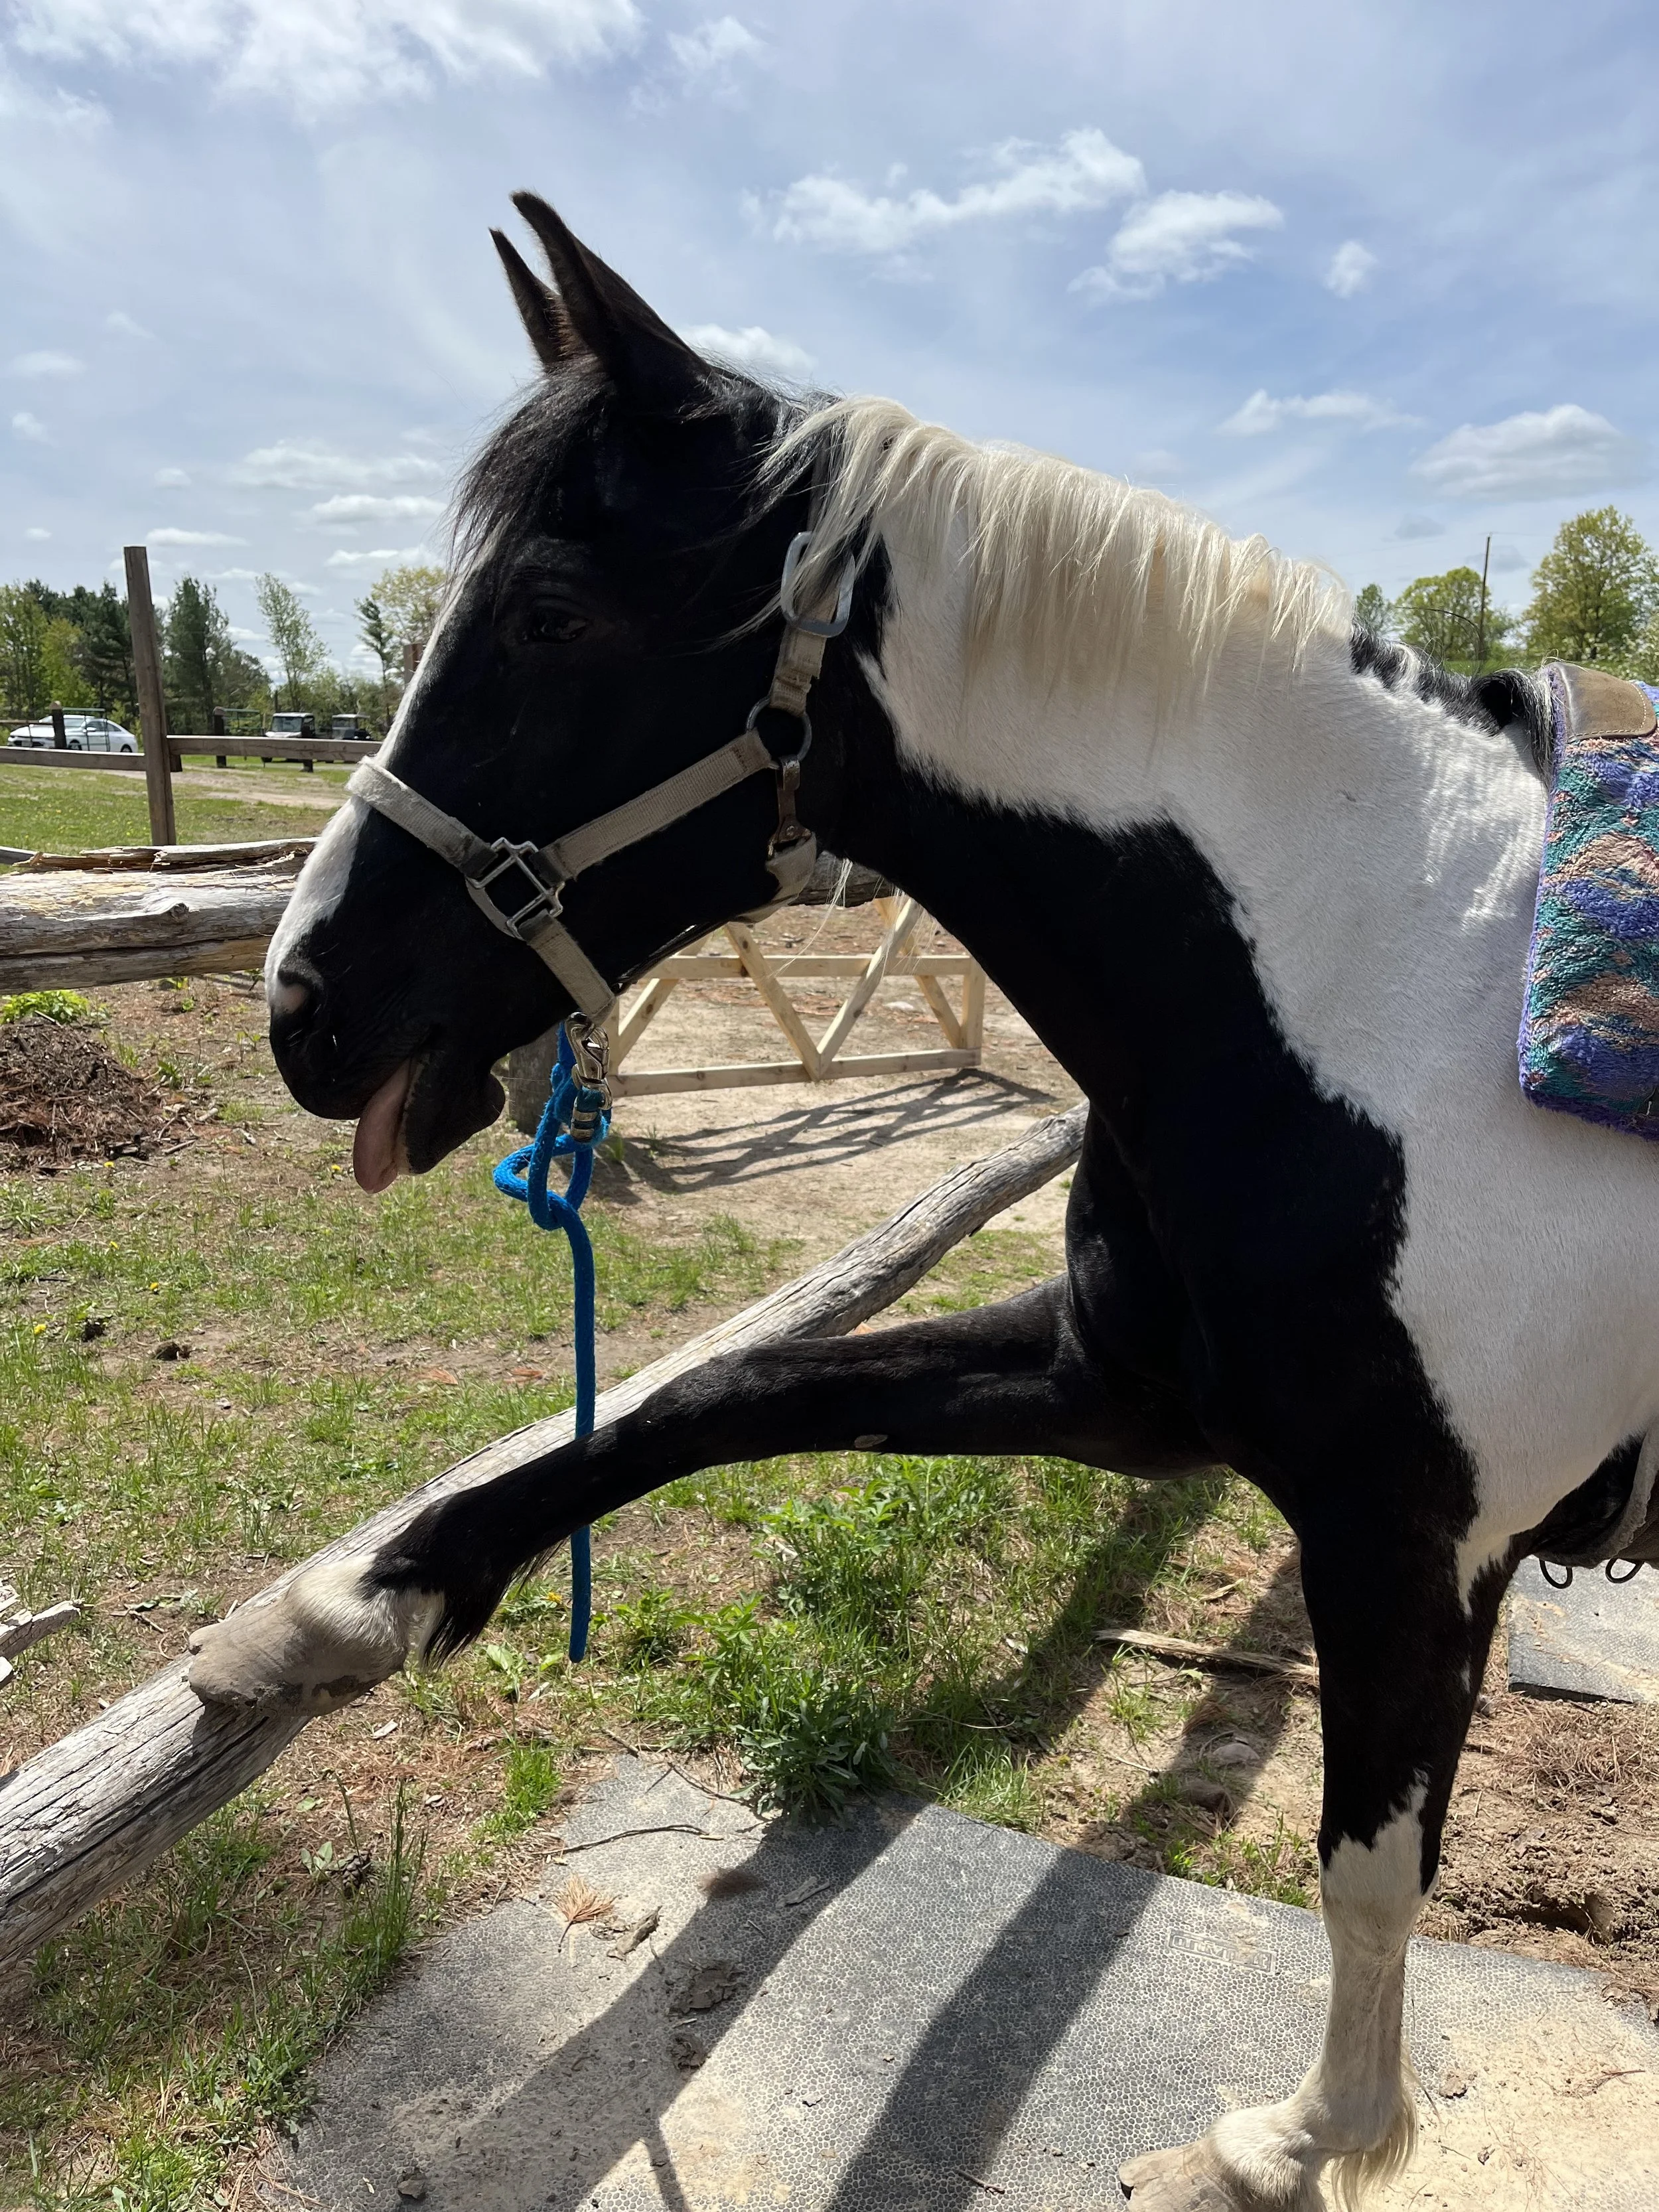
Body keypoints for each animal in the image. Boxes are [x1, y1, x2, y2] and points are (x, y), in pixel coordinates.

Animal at [187, 193, 1659, 2211]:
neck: (1387, 1001)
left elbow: (1368, 1876)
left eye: (553, 613)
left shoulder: (1410, 1539)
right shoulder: (1119, 1391)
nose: (302, 1006)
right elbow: (713, 1396)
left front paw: (1293, 2144)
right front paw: (341, 1609)